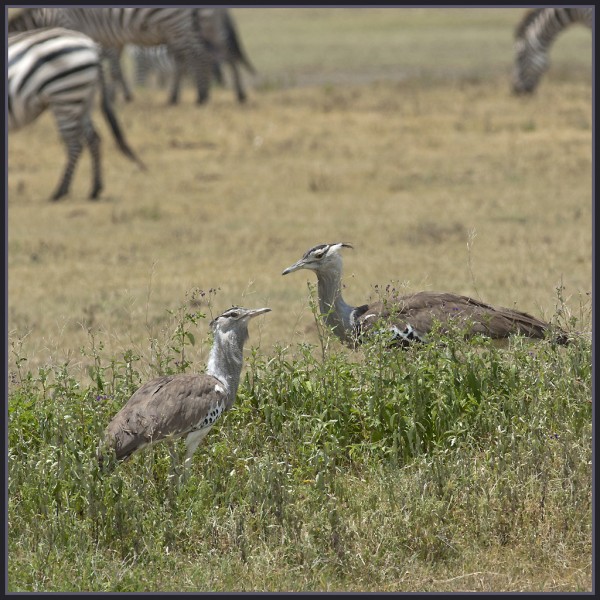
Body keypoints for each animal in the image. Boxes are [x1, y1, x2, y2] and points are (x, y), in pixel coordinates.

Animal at [7, 7, 216, 105]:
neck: (45, 17)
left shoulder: (72, 27)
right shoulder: (109, 39)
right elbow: (113, 68)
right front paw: (116, 97)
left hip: (175, 23)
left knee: (197, 54)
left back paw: (201, 96)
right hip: (178, 28)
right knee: (189, 57)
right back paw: (176, 97)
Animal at [8, 27, 145, 202]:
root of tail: (93, 46)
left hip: (65, 97)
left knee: (75, 144)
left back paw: (60, 191)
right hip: (83, 100)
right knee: (93, 138)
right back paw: (95, 189)